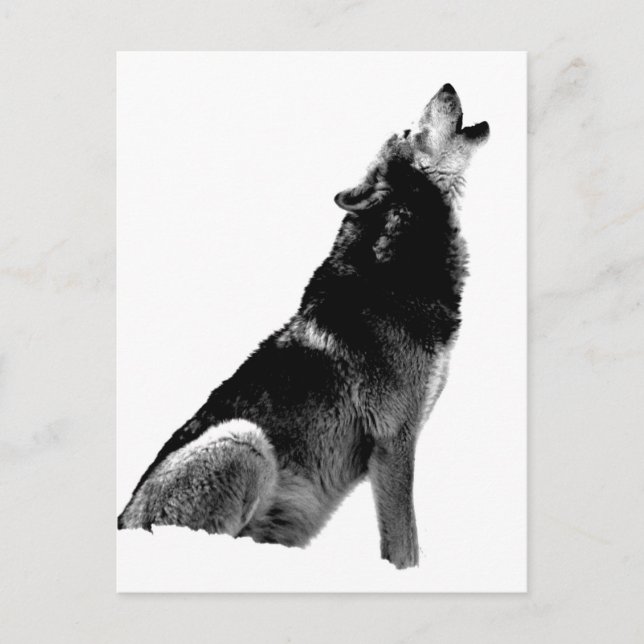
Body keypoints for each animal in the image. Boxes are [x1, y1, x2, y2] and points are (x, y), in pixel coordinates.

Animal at [118, 83, 489, 569]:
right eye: (409, 131)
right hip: (245, 441)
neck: (397, 270)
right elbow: (404, 546)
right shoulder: (393, 441)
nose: (446, 85)